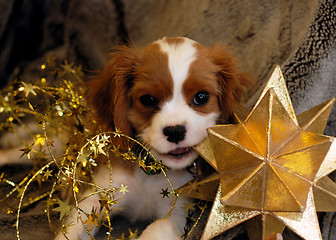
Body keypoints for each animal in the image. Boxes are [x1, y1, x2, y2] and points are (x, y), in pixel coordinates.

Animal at [55, 36, 247, 240]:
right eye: (148, 99)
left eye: (201, 97)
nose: (175, 131)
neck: (155, 173)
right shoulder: (99, 195)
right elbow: (75, 227)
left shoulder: (177, 213)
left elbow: (155, 230)